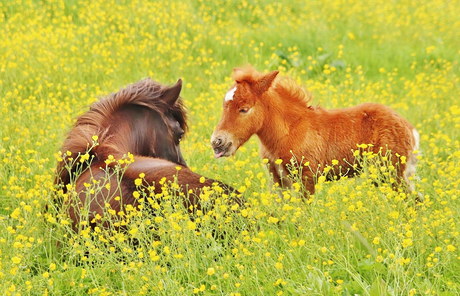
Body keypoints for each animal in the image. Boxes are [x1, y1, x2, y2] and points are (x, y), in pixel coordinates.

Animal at [212, 66, 420, 198]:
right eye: (223, 106)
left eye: (244, 109)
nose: (217, 142)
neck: (289, 130)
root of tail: (410, 129)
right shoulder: (277, 179)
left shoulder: (307, 178)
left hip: (390, 172)